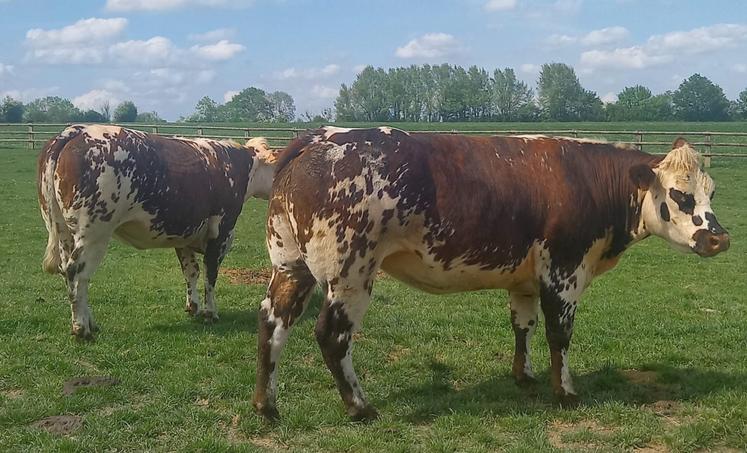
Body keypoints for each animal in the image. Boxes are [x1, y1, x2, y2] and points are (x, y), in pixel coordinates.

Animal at [38, 124, 277, 339]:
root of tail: (75, 131)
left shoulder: (185, 235)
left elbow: (191, 271)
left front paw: (193, 306)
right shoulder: (221, 232)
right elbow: (210, 274)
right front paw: (210, 312)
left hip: (64, 233)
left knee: (71, 274)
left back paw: (90, 323)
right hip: (94, 234)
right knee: (77, 273)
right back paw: (82, 328)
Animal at [252, 126, 730, 421]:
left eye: (711, 190)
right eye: (680, 195)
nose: (719, 238)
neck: (589, 181)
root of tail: (319, 138)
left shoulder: (526, 279)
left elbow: (524, 325)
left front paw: (525, 375)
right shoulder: (564, 272)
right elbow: (560, 334)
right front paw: (565, 392)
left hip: (290, 264)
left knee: (273, 321)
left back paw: (266, 404)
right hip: (350, 274)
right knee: (332, 335)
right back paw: (359, 407)